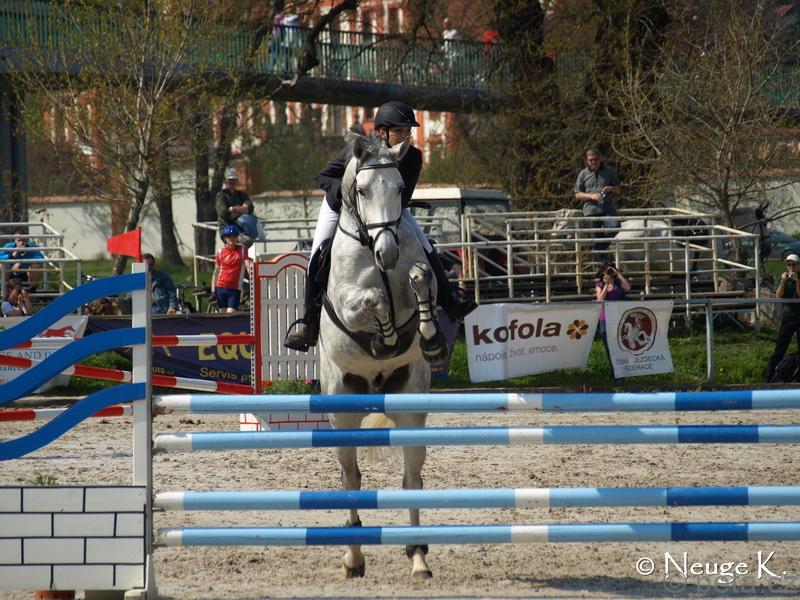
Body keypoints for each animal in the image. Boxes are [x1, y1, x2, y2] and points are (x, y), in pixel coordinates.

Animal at [319, 132, 444, 578]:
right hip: (342, 412)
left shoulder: (415, 280)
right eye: (361, 191)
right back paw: (354, 558)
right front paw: (384, 338)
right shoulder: (349, 301)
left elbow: (421, 281)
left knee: (412, 479)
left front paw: (427, 334)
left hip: (410, 405)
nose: (386, 254)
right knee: (351, 478)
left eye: (400, 187)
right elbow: (372, 300)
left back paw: (419, 557)